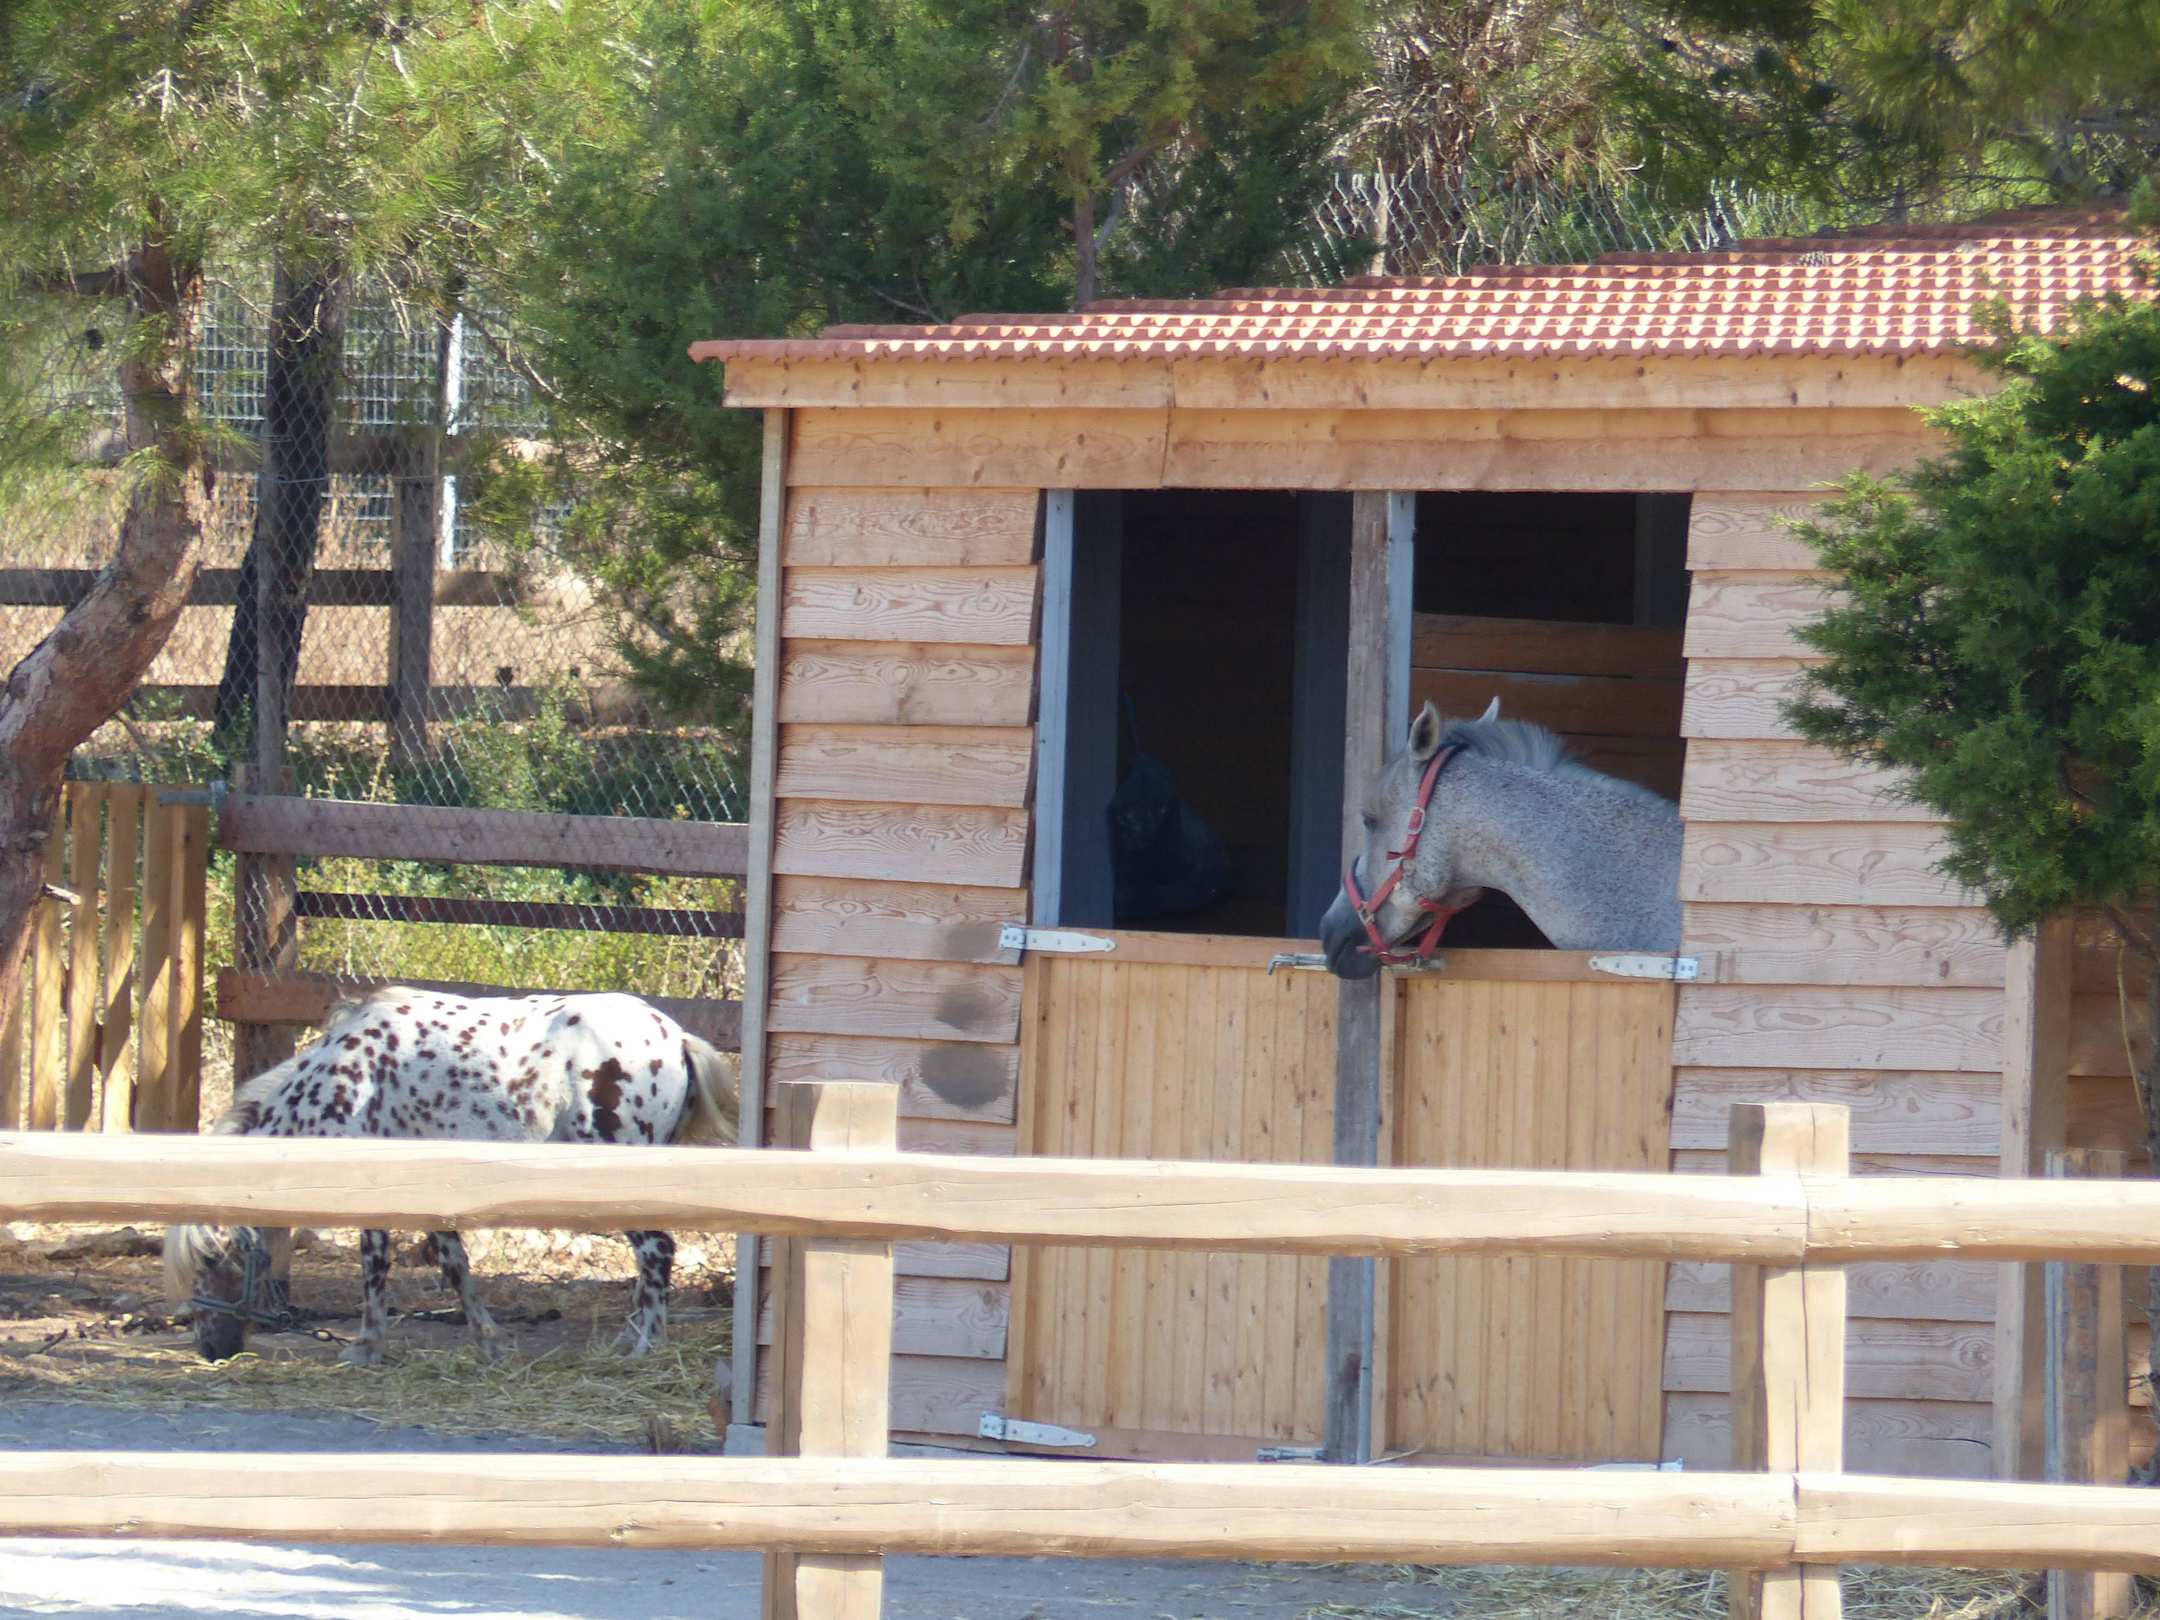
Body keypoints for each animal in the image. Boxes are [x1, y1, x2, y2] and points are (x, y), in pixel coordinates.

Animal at [164, 986, 740, 1366]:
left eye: (211, 1260)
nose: (211, 1349)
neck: (347, 1080)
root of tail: (674, 1036)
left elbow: (375, 1268)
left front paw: (365, 1348)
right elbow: (456, 1266)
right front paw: (488, 1340)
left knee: (657, 1250)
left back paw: (646, 1347)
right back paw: (628, 1339)